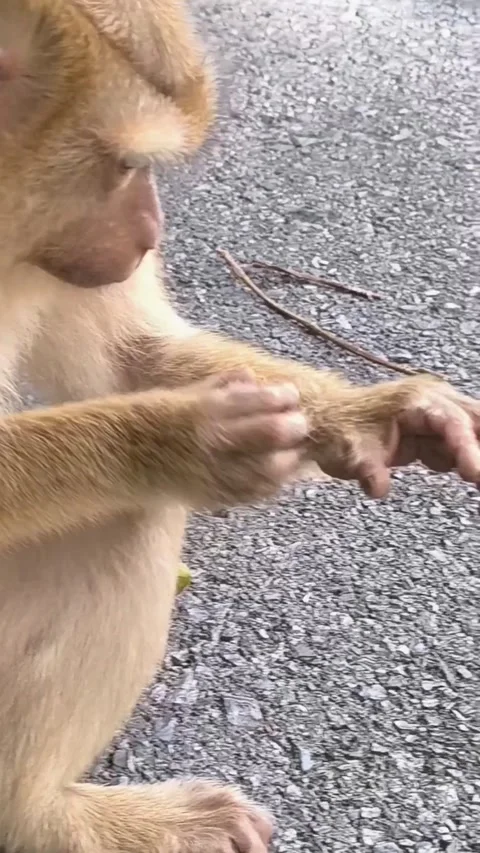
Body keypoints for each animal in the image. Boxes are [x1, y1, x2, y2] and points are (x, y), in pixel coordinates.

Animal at [0, 2, 479, 852]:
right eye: (124, 167)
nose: (152, 233)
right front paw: (178, 439)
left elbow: (131, 357)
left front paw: (372, 414)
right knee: (132, 511)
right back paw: (38, 818)